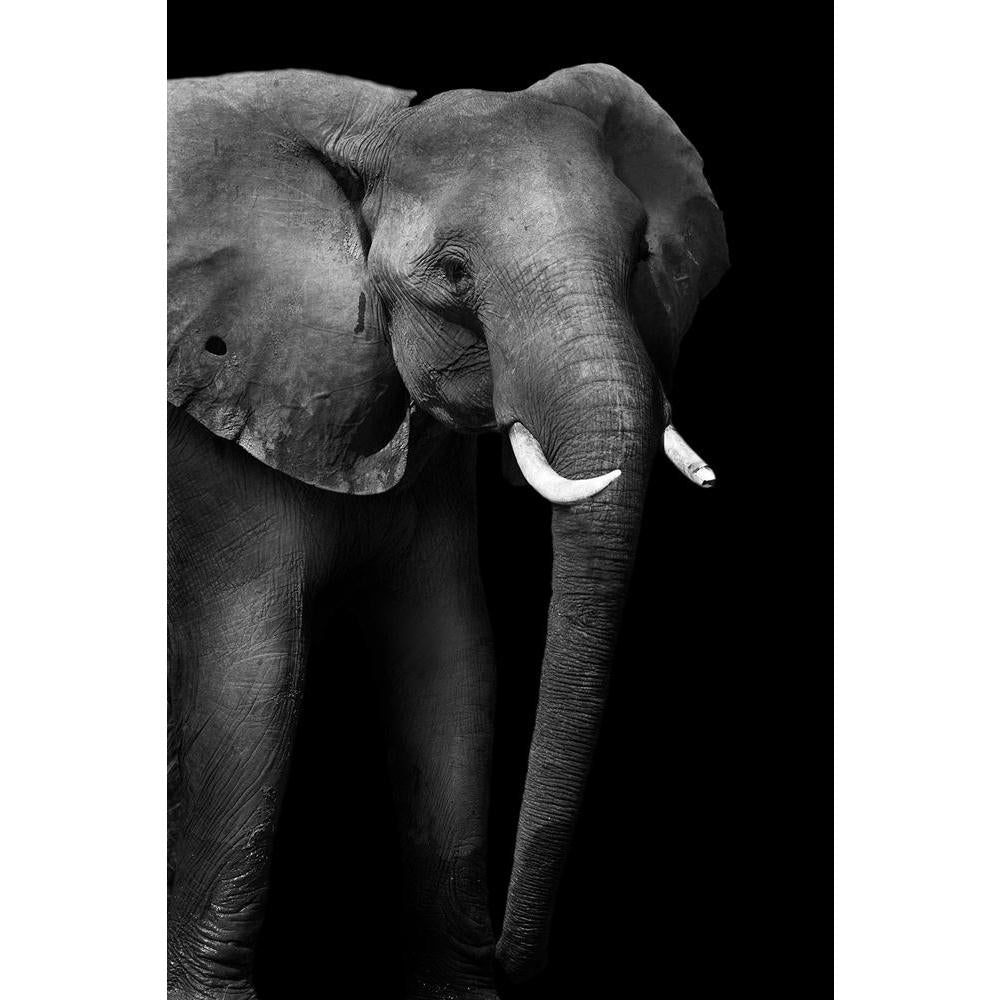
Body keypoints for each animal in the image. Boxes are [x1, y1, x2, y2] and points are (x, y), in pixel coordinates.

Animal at [167, 63, 729, 999]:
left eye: (641, 259)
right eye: (456, 272)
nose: (517, 956)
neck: (375, 125)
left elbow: (453, 658)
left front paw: (464, 990)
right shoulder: (210, 442)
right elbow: (255, 671)